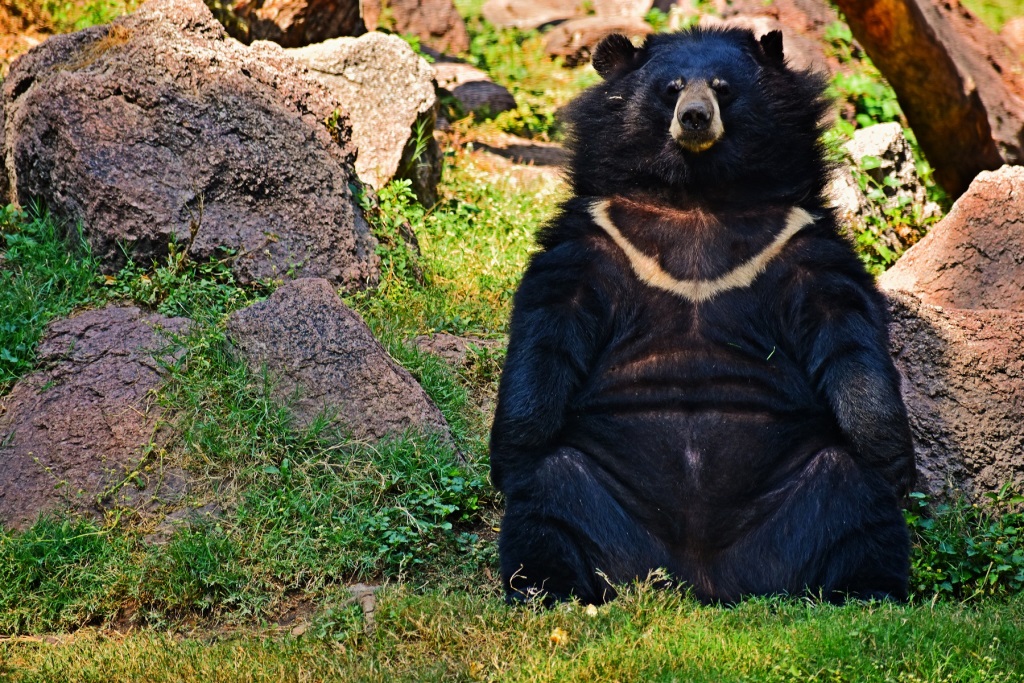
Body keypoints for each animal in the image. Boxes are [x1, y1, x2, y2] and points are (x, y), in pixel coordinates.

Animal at [489, 26, 921, 606]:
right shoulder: (598, 235)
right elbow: (549, 325)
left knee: (858, 504)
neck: (697, 193)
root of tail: (700, 576)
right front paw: (509, 458)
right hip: (597, 486)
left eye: (722, 88)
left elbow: (846, 327)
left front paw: (896, 463)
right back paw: (550, 588)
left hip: (803, 489)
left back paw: (867, 589)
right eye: (671, 89)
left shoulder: (796, 238)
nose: (695, 117)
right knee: (549, 499)